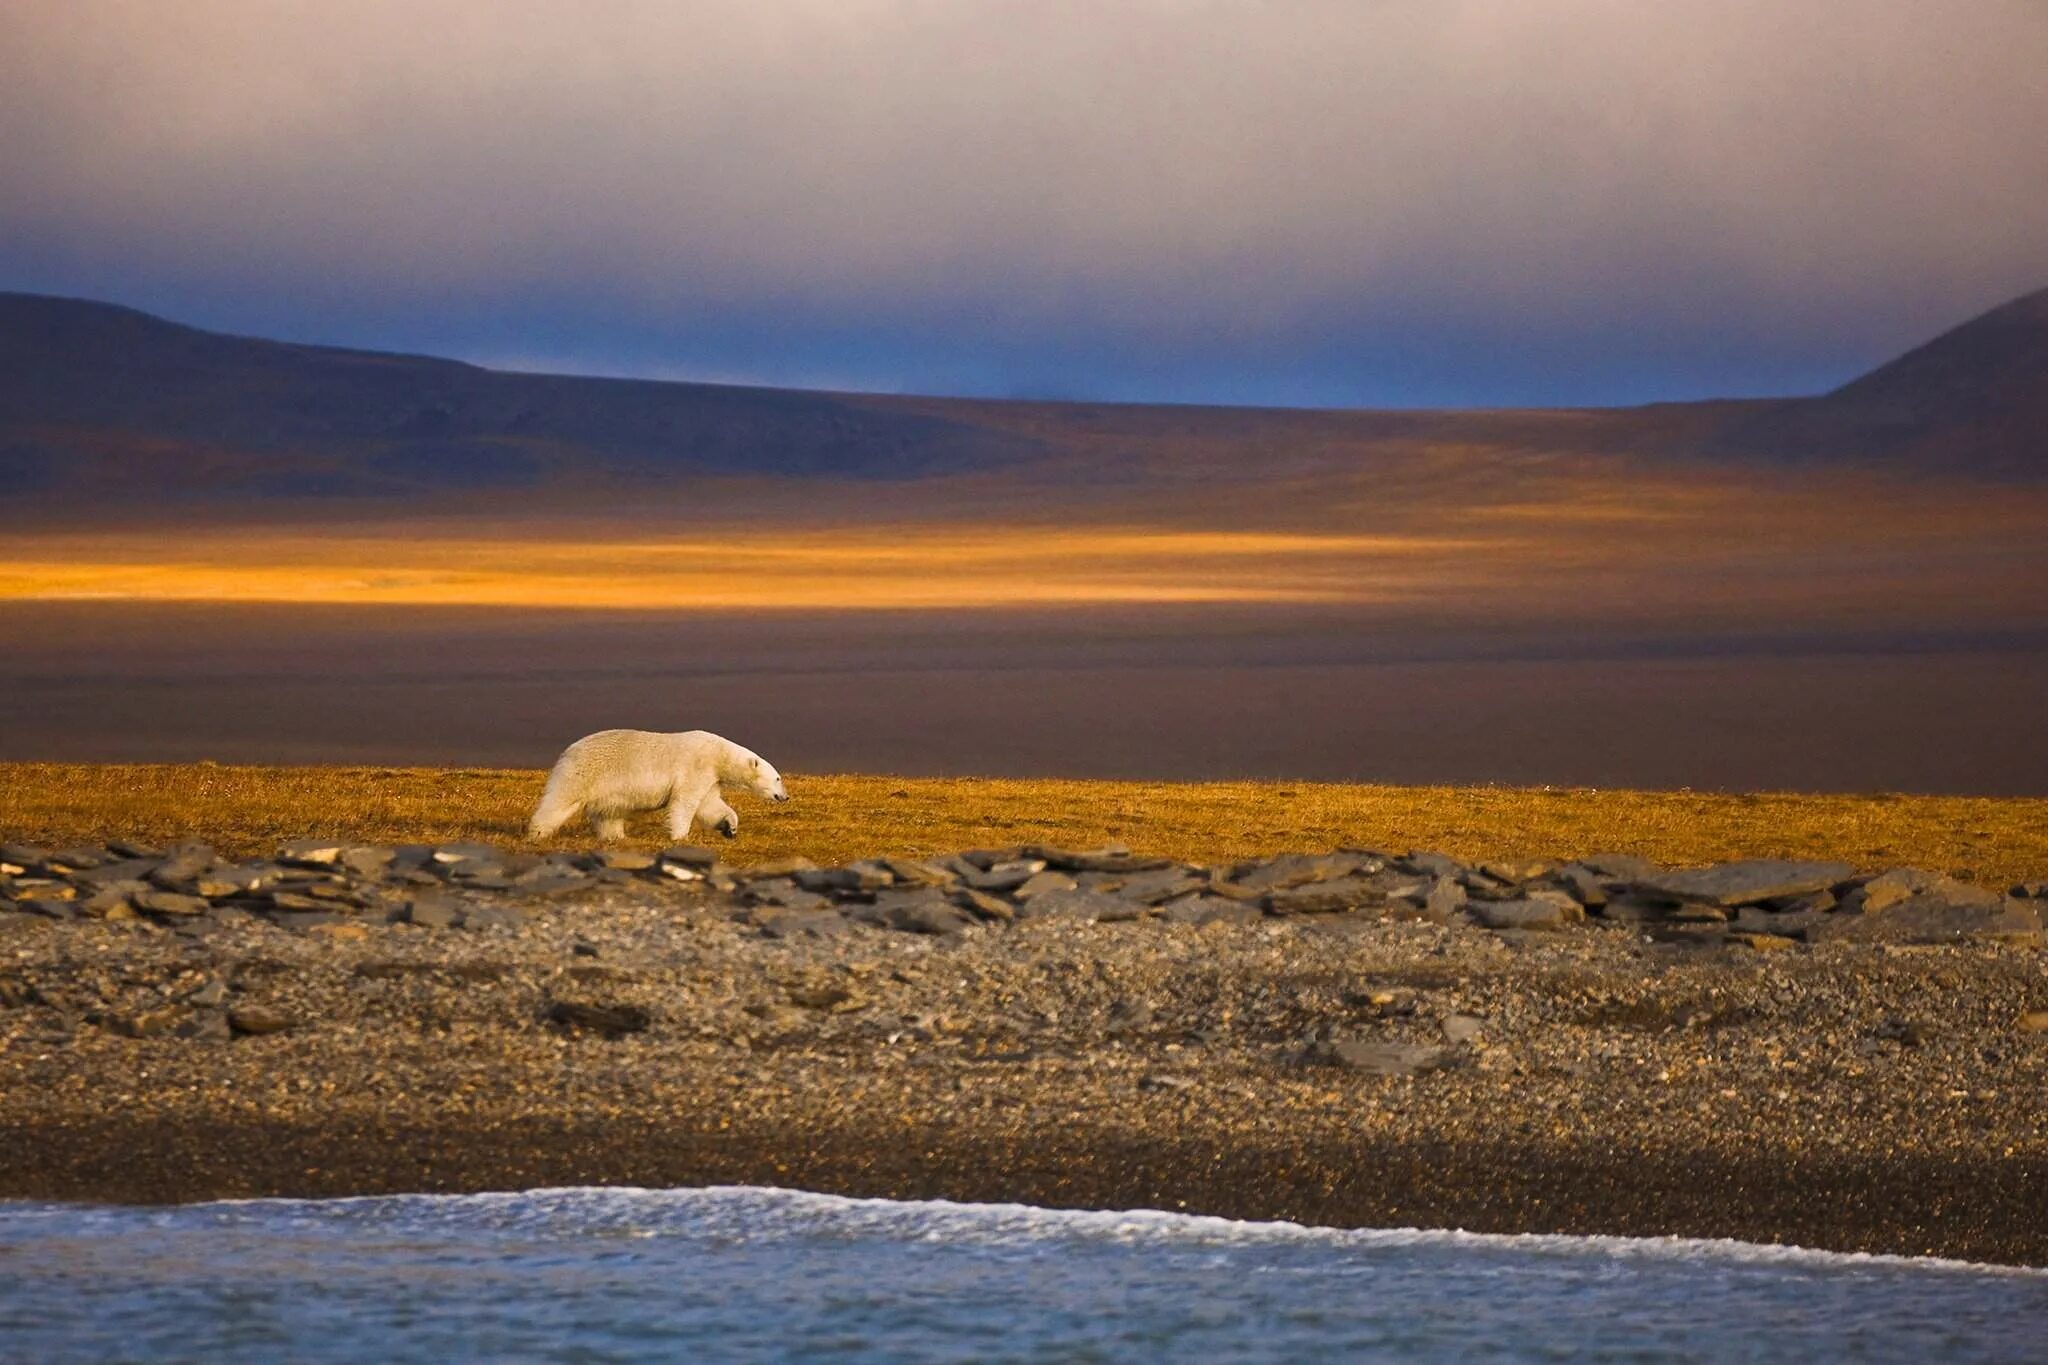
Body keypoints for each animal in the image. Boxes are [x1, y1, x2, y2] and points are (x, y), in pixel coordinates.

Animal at [524, 724, 786, 843]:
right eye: (778, 778)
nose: (785, 796)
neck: (719, 754)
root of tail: (568, 750)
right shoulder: (696, 767)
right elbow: (684, 803)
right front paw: (680, 836)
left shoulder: (710, 777)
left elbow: (710, 805)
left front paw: (729, 827)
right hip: (584, 772)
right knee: (560, 800)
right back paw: (537, 833)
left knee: (609, 812)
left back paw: (616, 837)